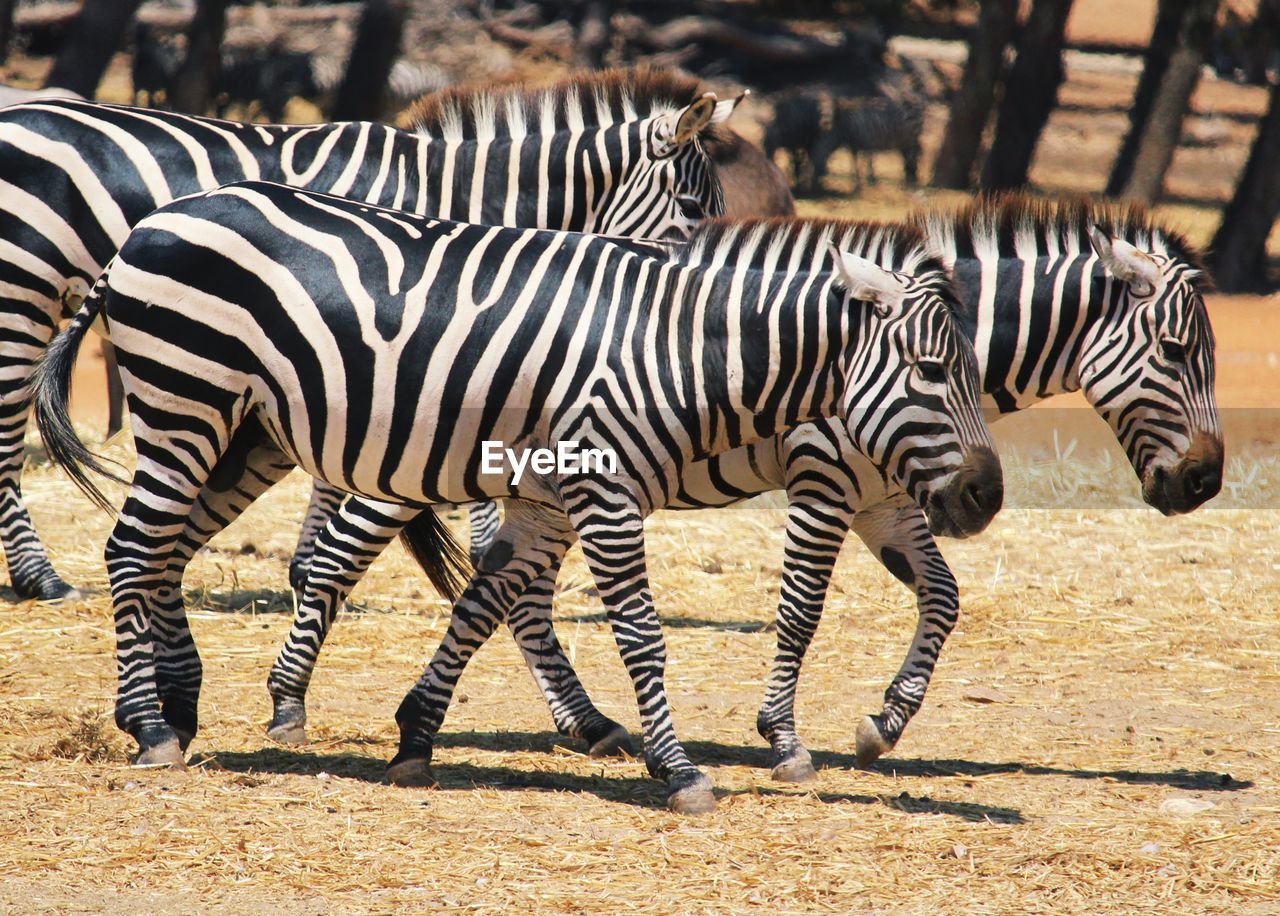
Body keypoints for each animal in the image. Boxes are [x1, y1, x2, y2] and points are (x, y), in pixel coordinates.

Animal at [0, 69, 742, 601]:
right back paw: (40, 579)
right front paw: (320, 568)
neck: (454, 202)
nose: (706, 298)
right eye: (692, 209)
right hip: (22, 290)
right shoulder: (369, 331)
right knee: (9, 431)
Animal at [35, 182, 1003, 813]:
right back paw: (149, 725)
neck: (680, 350)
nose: (987, 497)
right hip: (186, 401)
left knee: (166, 547)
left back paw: (179, 705)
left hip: (240, 428)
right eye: (930, 370)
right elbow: (642, 635)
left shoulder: (545, 499)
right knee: (133, 548)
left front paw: (416, 737)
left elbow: (481, 605)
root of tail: (146, 227)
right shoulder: (613, 489)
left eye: (969, 367)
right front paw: (681, 771)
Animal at [264, 194, 1213, 777]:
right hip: (414, 461)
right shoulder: (824, 476)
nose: (1206, 481)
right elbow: (800, 611)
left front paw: (884, 723)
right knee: (337, 559)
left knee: (509, 596)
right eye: (1176, 352)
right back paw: (287, 705)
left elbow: (943, 597)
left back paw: (588, 724)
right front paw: (784, 740)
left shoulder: (884, 494)